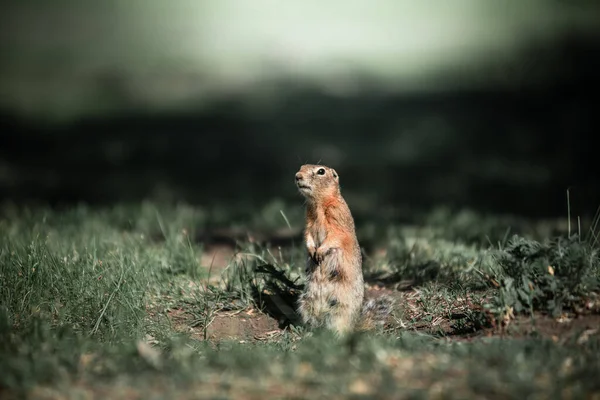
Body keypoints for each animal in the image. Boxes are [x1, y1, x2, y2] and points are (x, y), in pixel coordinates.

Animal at [296, 162, 366, 334]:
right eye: (301, 166)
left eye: (321, 171)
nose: (297, 176)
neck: (318, 204)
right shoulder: (308, 222)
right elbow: (307, 235)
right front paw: (311, 251)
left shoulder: (337, 217)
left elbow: (336, 236)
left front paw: (320, 252)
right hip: (306, 303)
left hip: (341, 310)